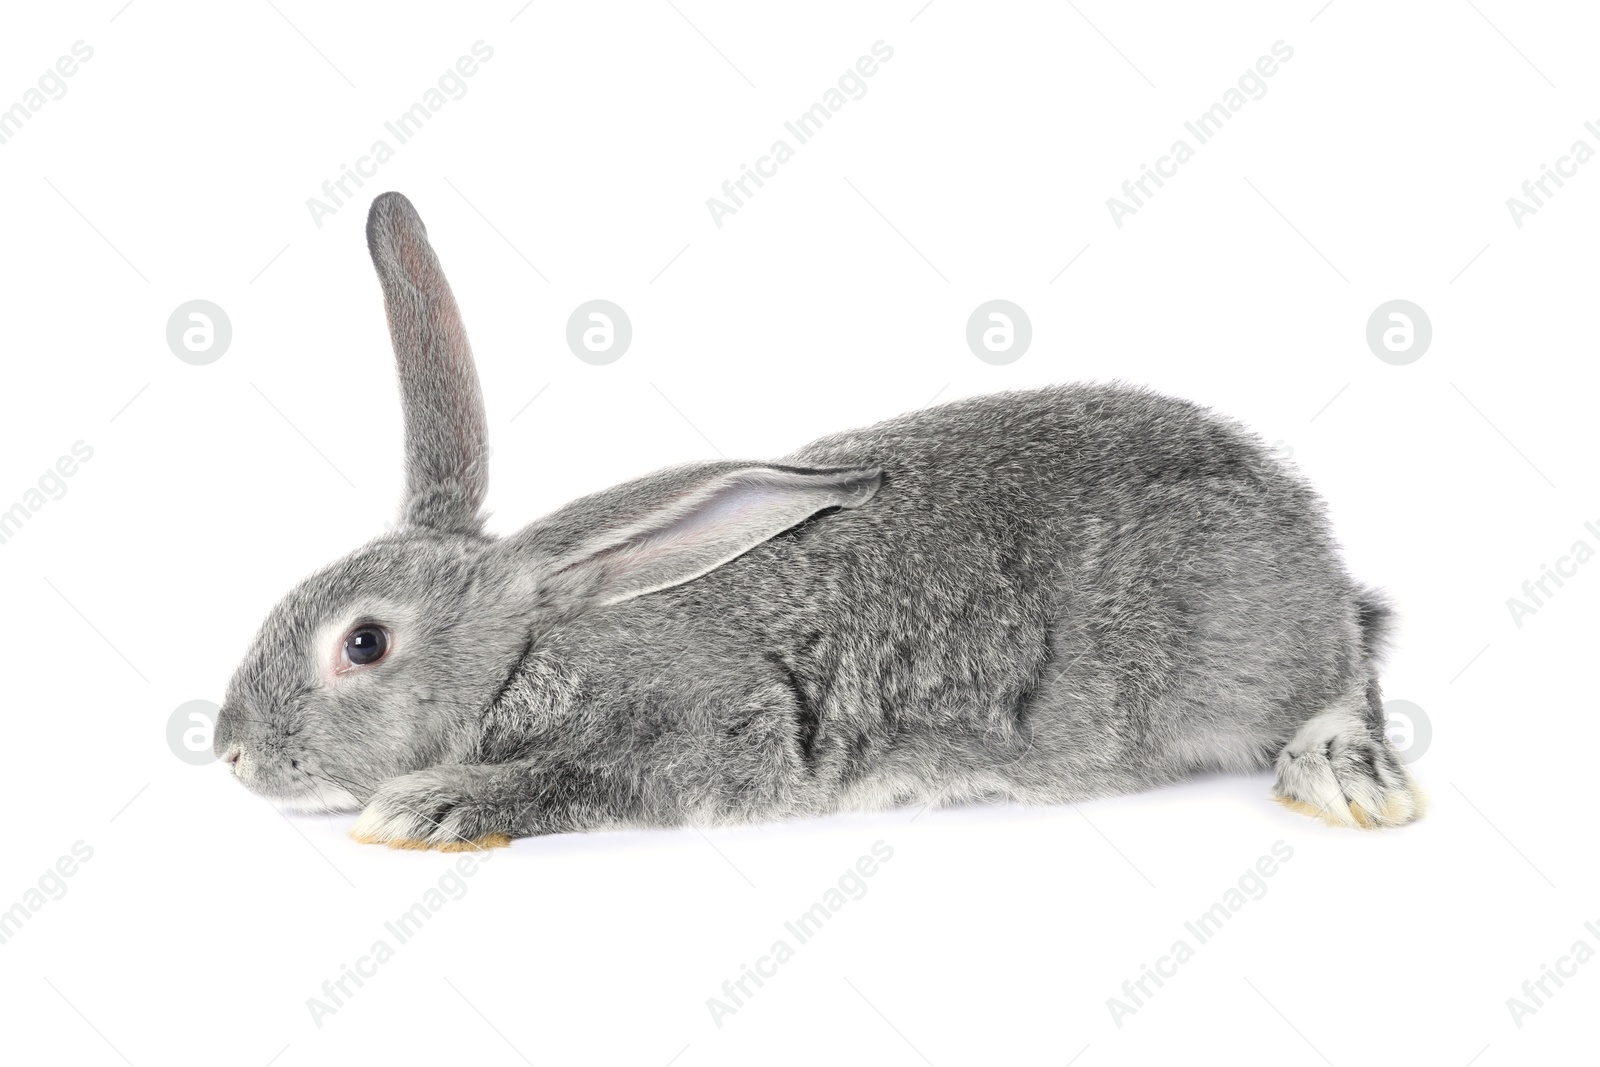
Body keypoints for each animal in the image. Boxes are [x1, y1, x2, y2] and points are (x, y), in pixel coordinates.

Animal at [212, 189, 1427, 851]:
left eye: (365, 643)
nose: (229, 752)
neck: (536, 643)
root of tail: (1312, 549)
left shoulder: (711, 730)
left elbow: (594, 776)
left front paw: (427, 806)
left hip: (1244, 650)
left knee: (1347, 683)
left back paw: (1343, 776)